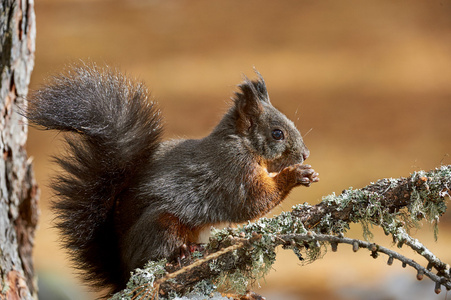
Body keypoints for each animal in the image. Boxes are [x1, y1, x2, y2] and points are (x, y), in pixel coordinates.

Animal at [26, 64, 320, 296]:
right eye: (277, 133)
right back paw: (178, 253)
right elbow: (253, 202)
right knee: (154, 255)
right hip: (161, 223)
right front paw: (296, 174)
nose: (305, 154)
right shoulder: (233, 172)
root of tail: (123, 271)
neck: (241, 143)